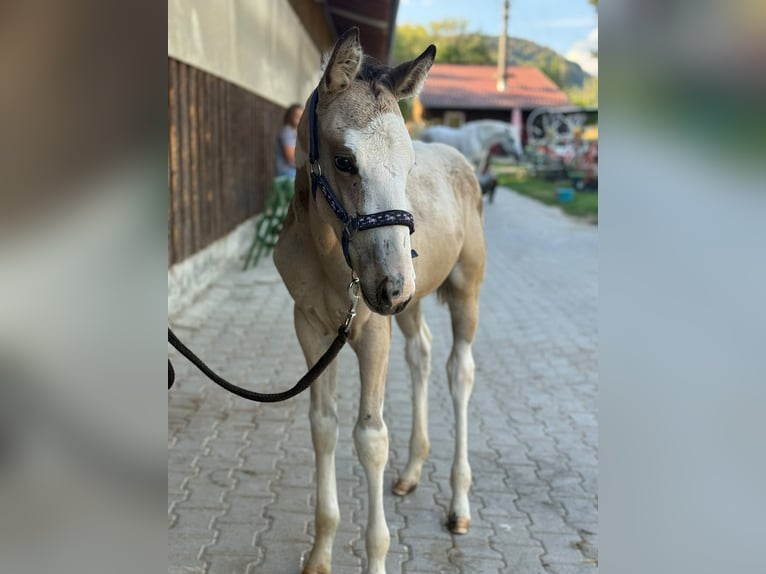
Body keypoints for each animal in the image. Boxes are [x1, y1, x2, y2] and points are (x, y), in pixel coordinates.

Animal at [274, 28, 486, 574]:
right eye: (345, 160)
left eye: (409, 166)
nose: (391, 285)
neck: (329, 254)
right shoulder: (310, 325)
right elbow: (323, 426)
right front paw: (320, 554)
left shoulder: (372, 330)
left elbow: (370, 438)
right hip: (410, 306)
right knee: (422, 353)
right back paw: (411, 471)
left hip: (462, 289)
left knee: (460, 371)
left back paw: (459, 504)